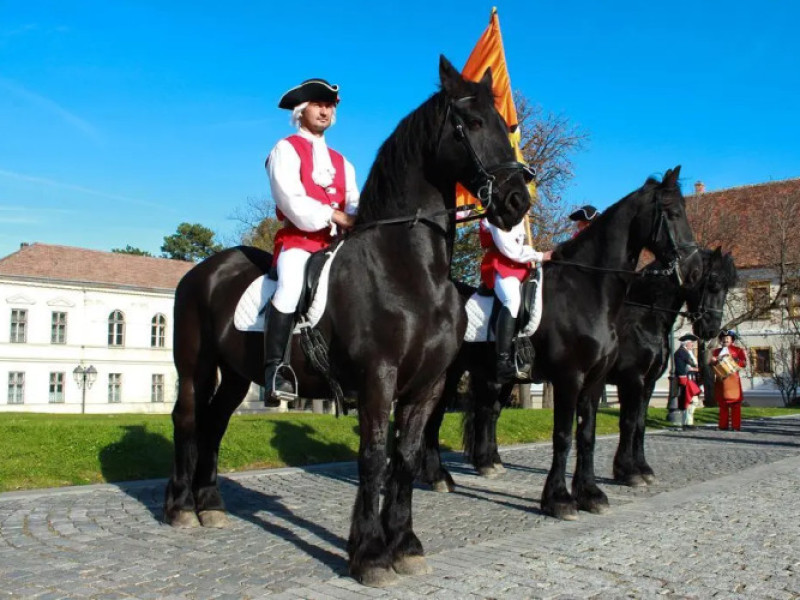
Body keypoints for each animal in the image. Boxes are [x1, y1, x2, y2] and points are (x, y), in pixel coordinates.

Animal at [164, 55, 531, 587]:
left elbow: (405, 458)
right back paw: (180, 508)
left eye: (505, 125)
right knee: (189, 418)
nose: (517, 202)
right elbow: (373, 456)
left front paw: (405, 544)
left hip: (236, 375)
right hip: (194, 365)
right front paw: (370, 553)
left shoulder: (429, 384)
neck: (409, 269)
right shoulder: (378, 378)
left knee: (214, 423)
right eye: (473, 123)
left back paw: (209, 504)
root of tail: (203, 270)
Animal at [420, 167, 703, 520]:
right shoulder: (571, 378)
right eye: (673, 212)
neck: (588, 290)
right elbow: (564, 436)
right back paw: (437, 477)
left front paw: (590, 494)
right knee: (433, 419)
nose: (693, 270)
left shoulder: (596, 381)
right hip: (447, 376)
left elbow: (588, 434)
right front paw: (559, 499)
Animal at [610, 247, 737, 486]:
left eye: (728, 286)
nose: (711, 330)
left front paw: (642, 468)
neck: (641, 317)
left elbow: (639, 424)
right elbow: (628, 423)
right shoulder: (631, 380)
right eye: (714, 283)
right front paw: (627, 472)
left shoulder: (647, 383)